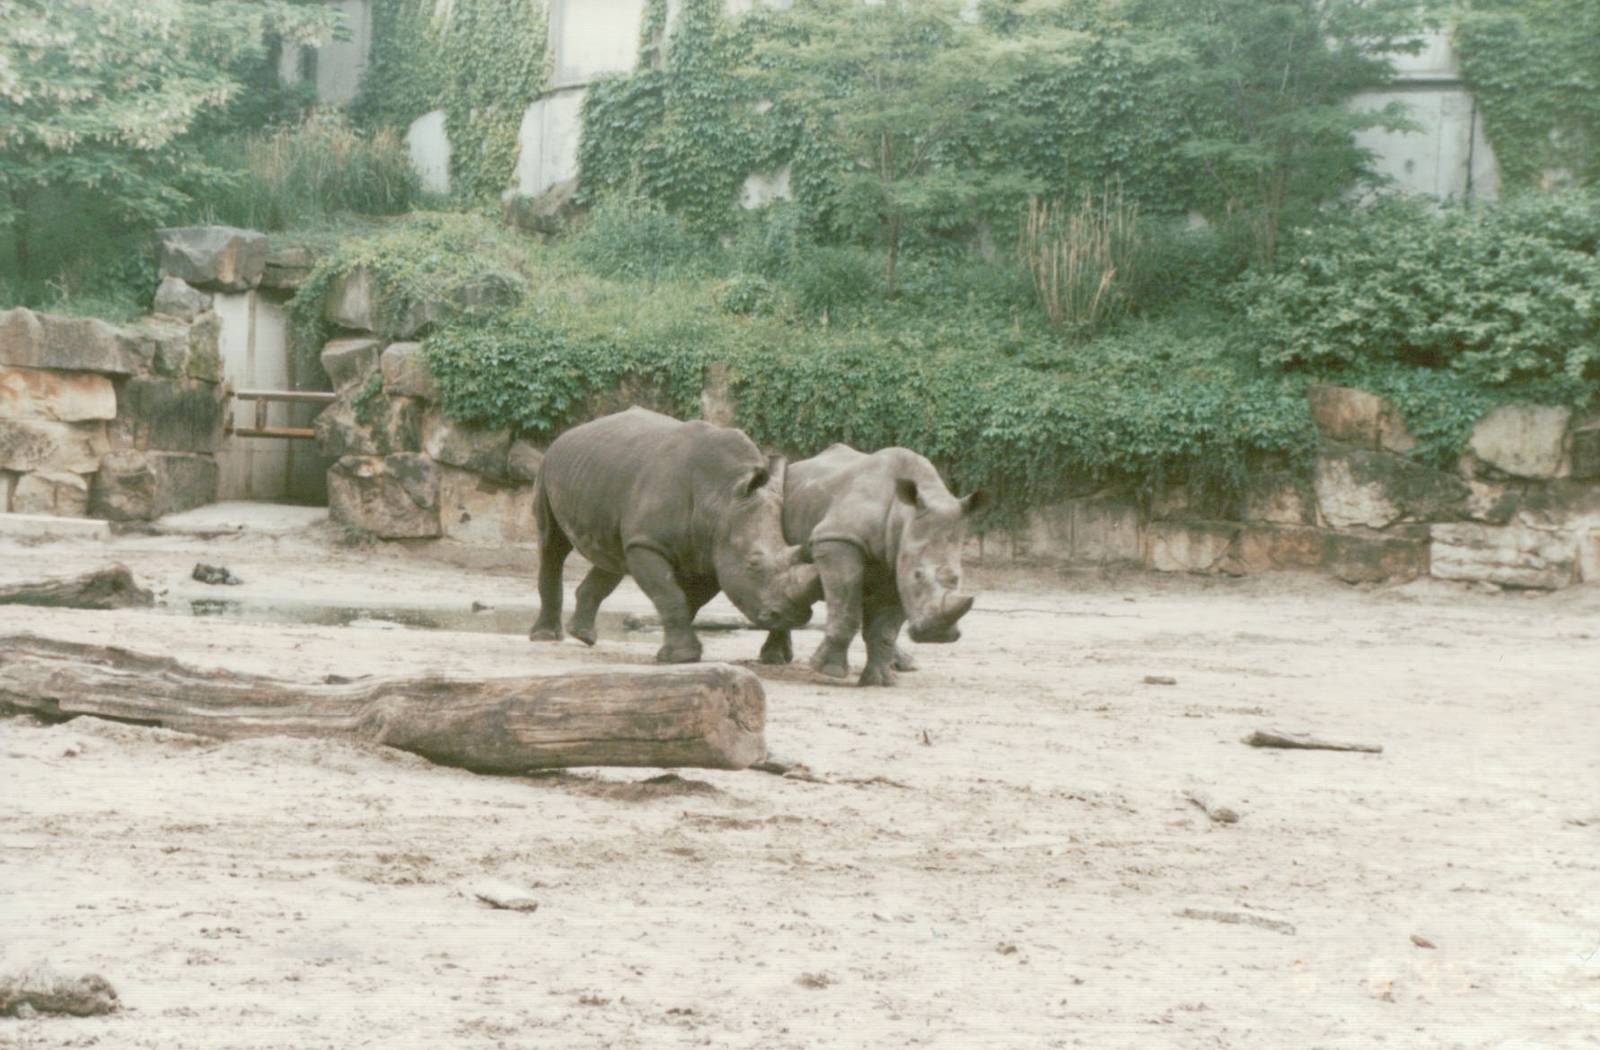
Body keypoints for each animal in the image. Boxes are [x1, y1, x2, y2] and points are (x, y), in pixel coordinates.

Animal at [528, 407, 820, 663]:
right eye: (753, 564)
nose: (793, 616)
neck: (722, 498)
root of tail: (571, 432)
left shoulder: (710, 553)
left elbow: (685, 599)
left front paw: (673, 653)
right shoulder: (650, 543)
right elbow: (670, 594)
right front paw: (683, 657)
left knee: (614, 554)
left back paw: (583, 635)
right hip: (548, 466)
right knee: (553, 545)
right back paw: (546, 636)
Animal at [758, 444, 985, 686]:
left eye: (957, 578)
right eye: (917, 575)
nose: (937, 636)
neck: (903, 516)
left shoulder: (898, 559)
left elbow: (886, 629)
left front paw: (879, 681)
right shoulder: (837, 537)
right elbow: (846, 606)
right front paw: (828, 670)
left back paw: (905, 665)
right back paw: (774, 659)